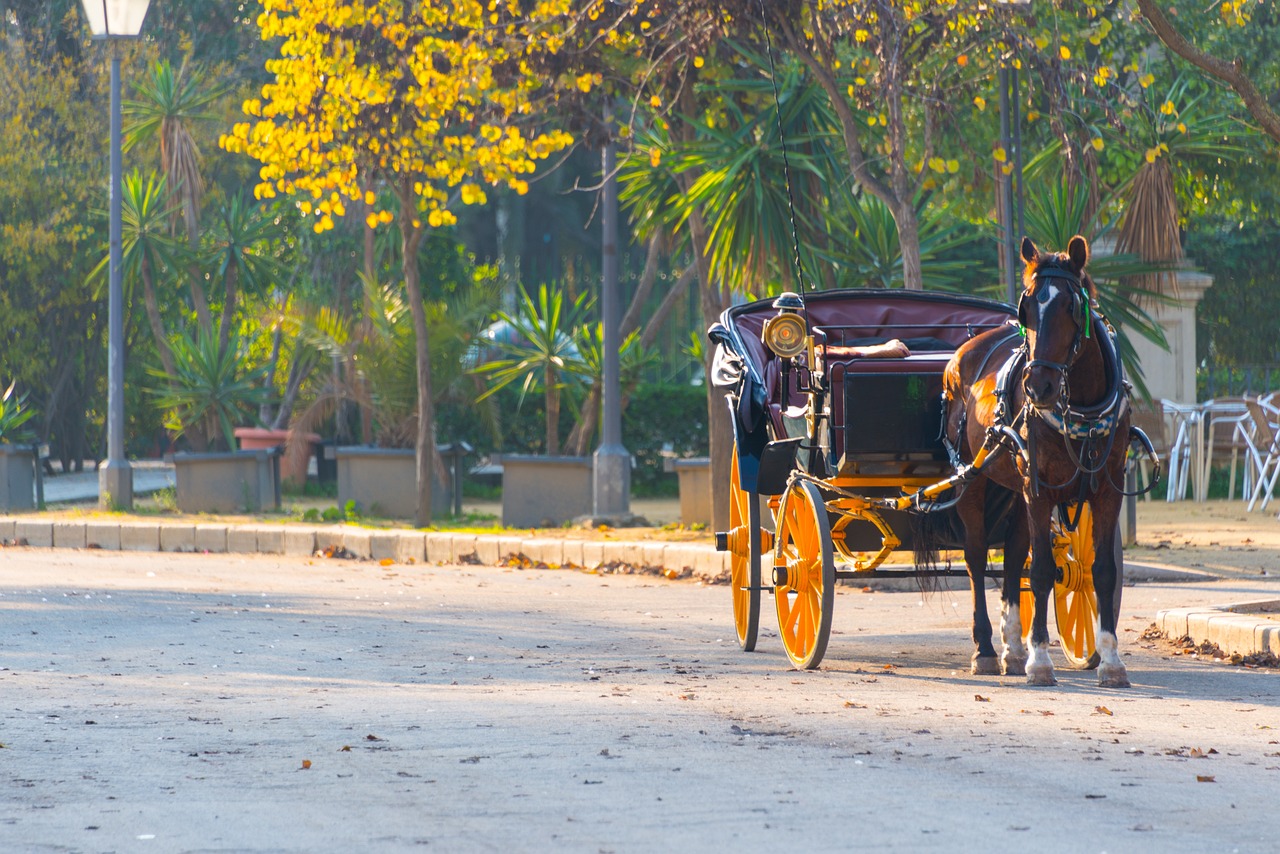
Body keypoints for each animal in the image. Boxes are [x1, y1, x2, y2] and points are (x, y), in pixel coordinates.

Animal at [942, 235, 1131, 686]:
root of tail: (962, 353)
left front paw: (1111, 660)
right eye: (1025, 308)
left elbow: (1103, 571)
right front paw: (1041, 659)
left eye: (1070, 307)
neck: (1081, 409)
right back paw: (986, 649)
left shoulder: (1107, 489)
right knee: (977, 558)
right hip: (974, 480)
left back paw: (1012, 648)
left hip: (1014, 489)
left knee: (1012, 557)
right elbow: (1043, 570)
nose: (1036, 386)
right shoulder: (1040, 487)